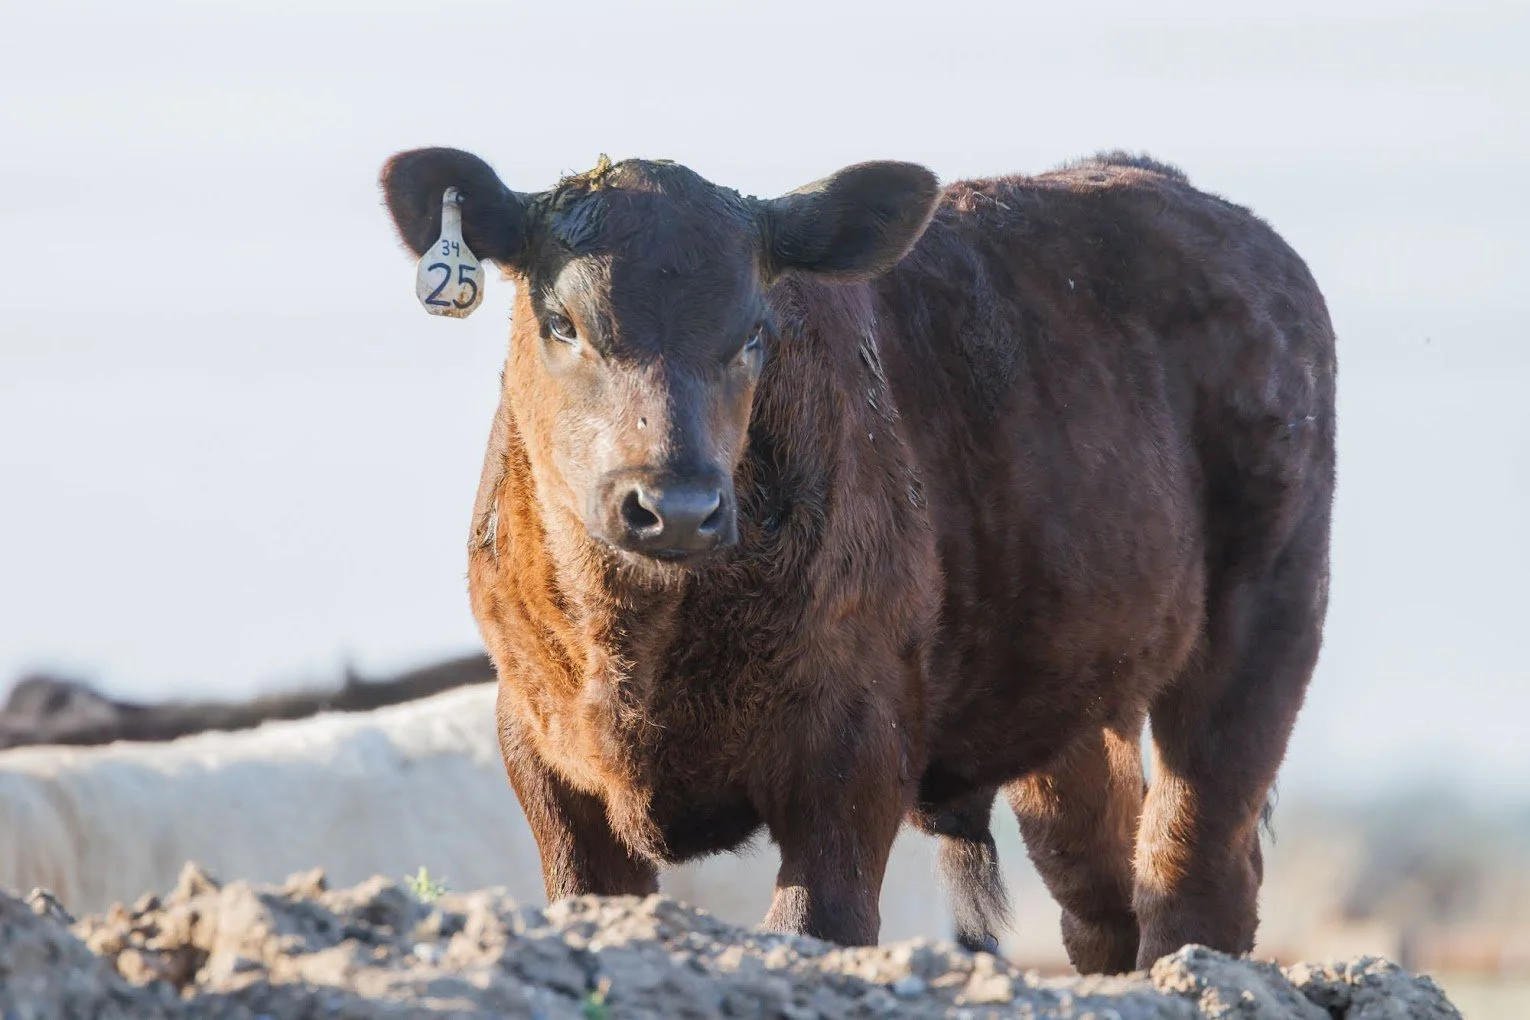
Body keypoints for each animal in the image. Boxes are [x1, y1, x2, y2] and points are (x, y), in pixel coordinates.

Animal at [377, 146, 1336, 973]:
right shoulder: (542, 752)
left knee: (1194, 867)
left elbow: (817, 926)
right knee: (1102, 888)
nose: (676, 505)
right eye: (562, 323)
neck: (644, 644)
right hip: (1068, 691)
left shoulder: (854, 746)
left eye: (753, 332)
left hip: (1269, 610)